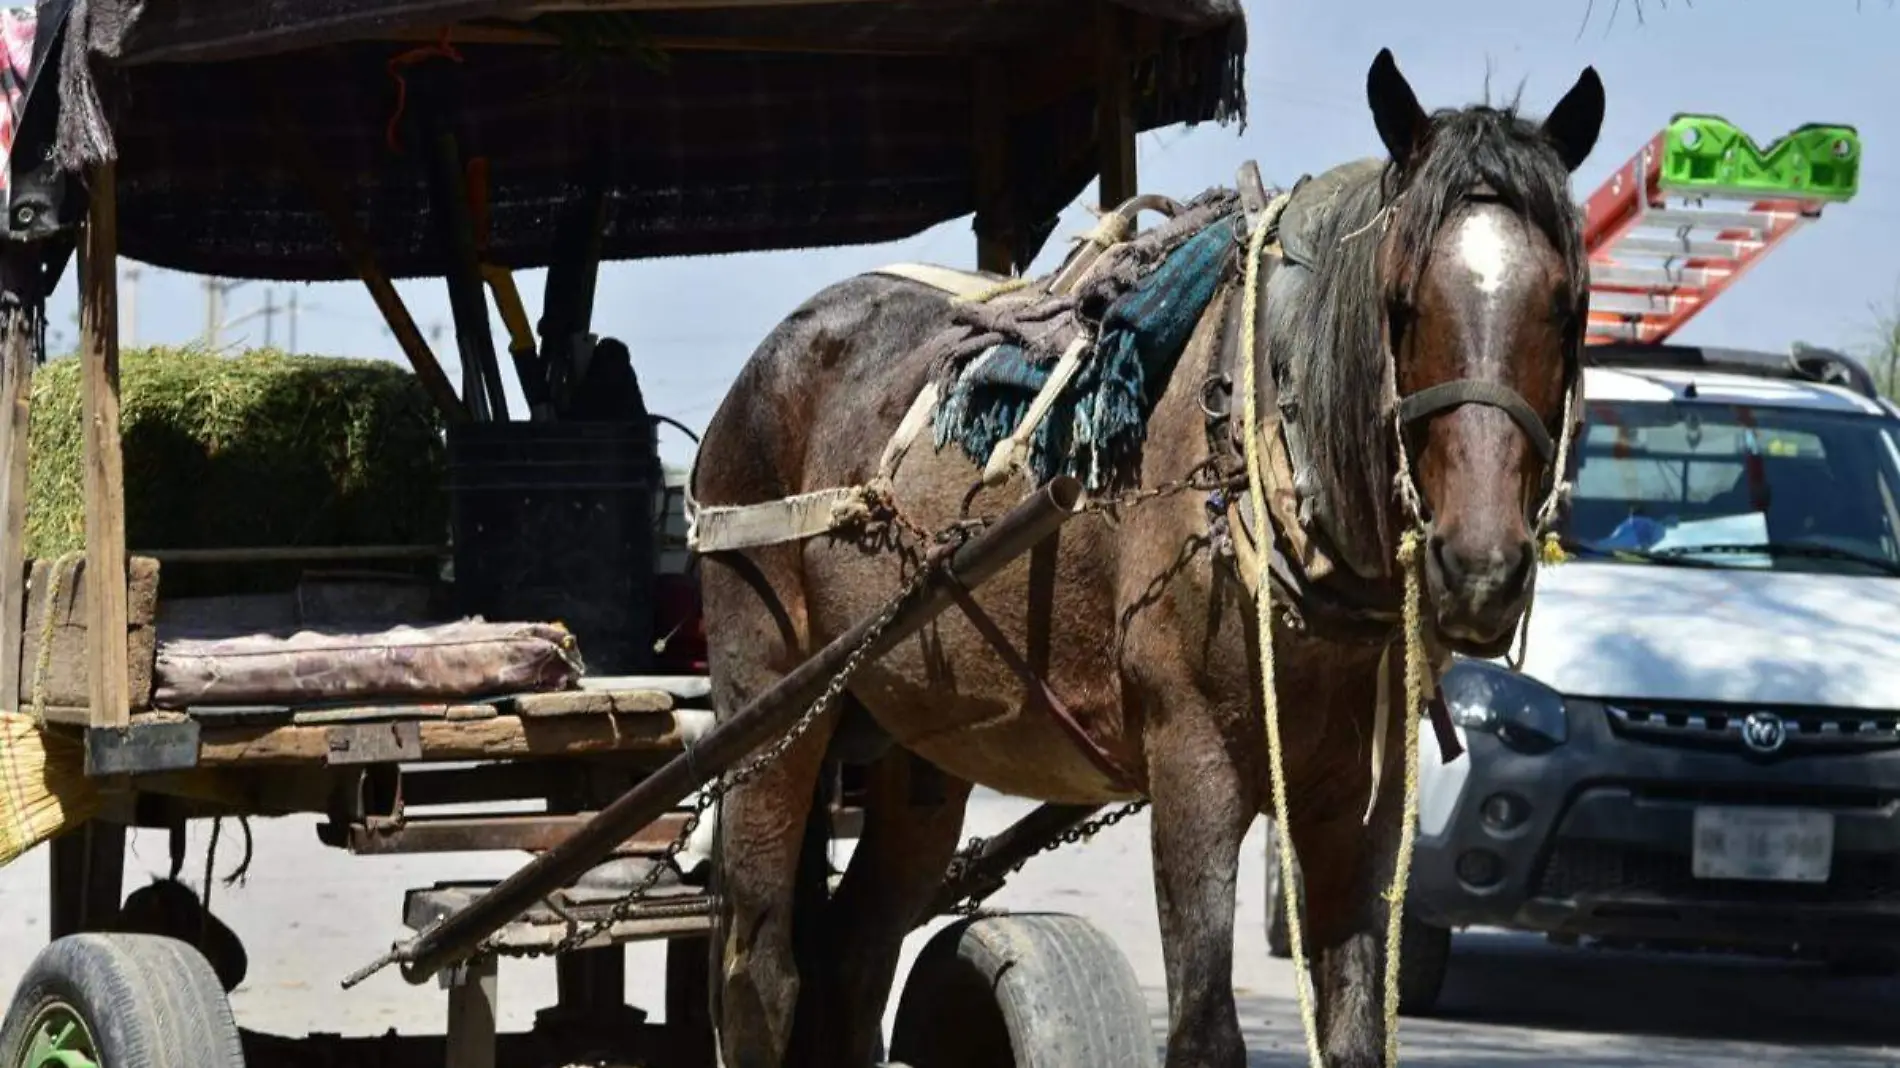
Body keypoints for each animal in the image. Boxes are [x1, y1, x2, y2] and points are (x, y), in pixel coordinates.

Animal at [691, 47, 1596, 1064]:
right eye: (1400, 304)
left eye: (1569, 308)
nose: (1479, 570)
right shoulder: (1192, 771)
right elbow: (1203, 1029)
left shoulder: (1358, 804)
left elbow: (1358, 1030)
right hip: (770, 710)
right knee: (762, 972)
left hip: (914, 741)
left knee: (850, 960)